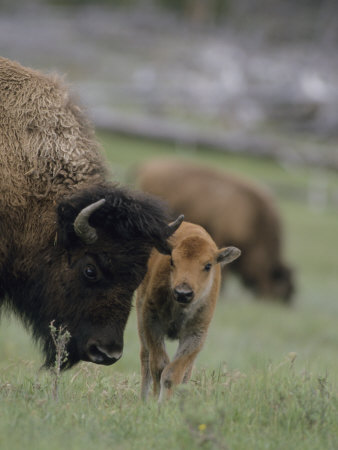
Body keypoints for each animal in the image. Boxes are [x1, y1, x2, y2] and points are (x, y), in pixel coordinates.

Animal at [135, 221, 240, 400]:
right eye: (172, 261)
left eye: (208, 265)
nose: (182, 293)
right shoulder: (152, 323)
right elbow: (159, 366)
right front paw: (156, 400)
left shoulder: (196, 334)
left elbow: (174, 372)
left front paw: (166, 401)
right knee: (145, 359)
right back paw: (143, 398)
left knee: (186, 369)